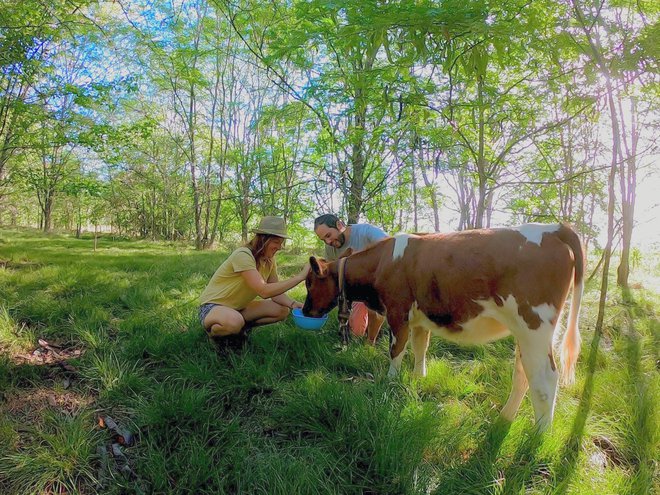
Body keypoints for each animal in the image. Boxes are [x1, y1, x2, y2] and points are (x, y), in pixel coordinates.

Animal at [302, 224, 584, 430]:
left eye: (309, 282)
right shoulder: (420, 319)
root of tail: (555, 227)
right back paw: (505, 418)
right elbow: (420, 347)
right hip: (525, 333)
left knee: (545, 379)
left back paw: (539, 435)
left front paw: (390, 382)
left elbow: (396, 350)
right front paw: (418, 379)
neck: (383, 261)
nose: (305, 311)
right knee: (524, 373)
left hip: (534, 325)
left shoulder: (398, 312)